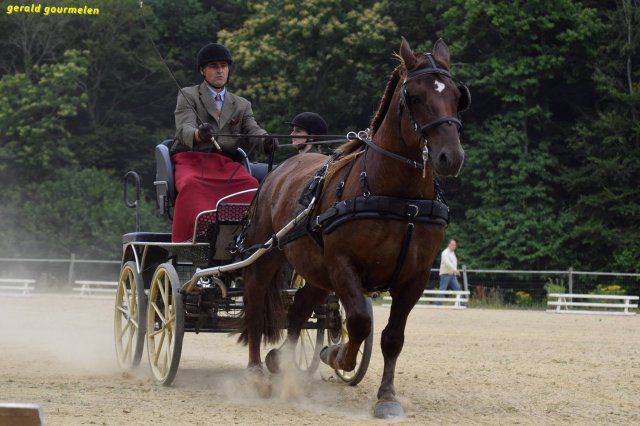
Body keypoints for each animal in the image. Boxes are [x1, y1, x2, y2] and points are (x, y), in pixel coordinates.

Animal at [240, 37, 468, 418]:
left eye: (456, 95)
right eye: (414, 97)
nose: (450, 157)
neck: (398, 197)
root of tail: (279, 171)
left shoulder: (415, 276)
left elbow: (392, 337)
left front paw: (387, 397)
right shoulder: (343, 266)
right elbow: (360, 320)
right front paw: (337, 355)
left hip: (316, 272)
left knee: (298, 312)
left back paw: (281, 363)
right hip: (266, 256)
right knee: (257, 305)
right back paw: (257, 371)